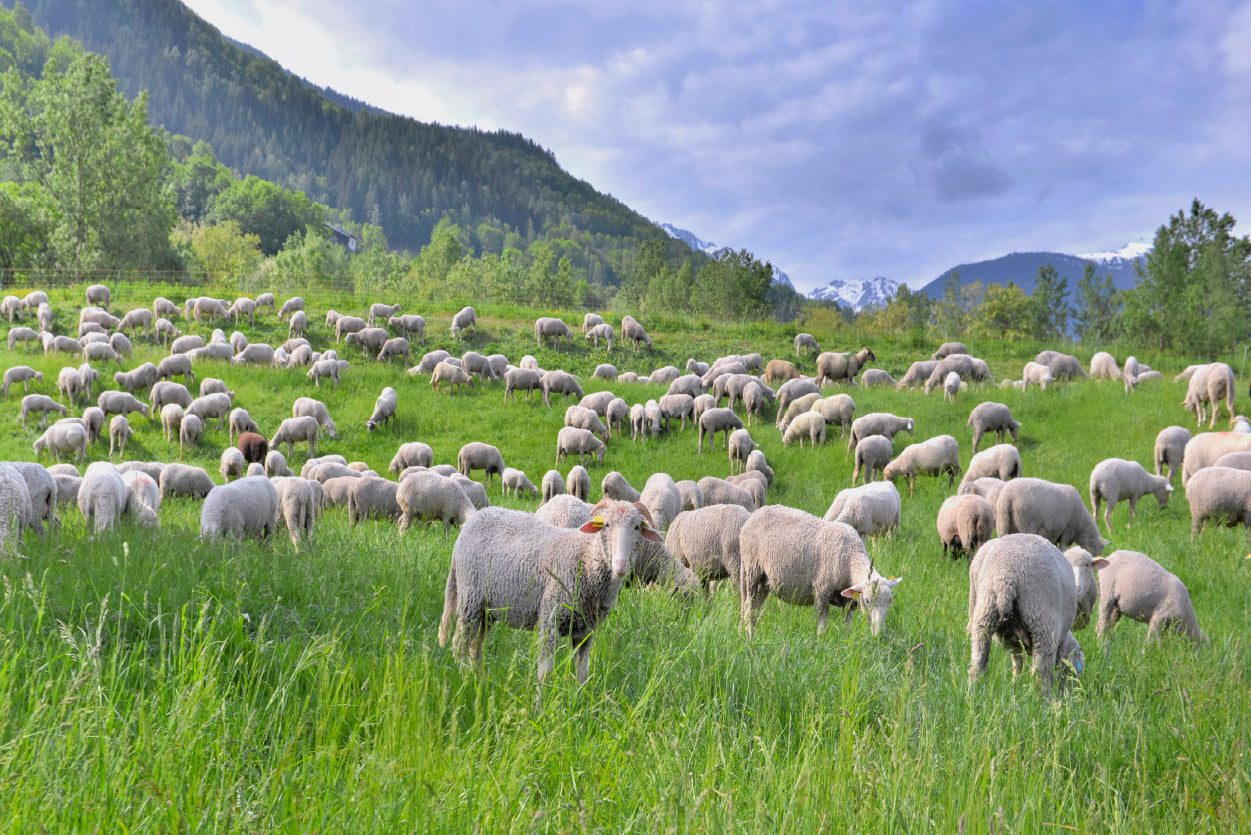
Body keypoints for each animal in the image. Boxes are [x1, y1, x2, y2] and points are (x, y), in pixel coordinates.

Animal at [437, 495, 665, 686]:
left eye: (637, 527)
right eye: (606, 525)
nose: (620, 565)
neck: (585, 558)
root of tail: (471, 522)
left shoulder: (585, 631)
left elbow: (582, 672)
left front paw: (579, 702)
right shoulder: (550, 618)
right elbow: (545, 672)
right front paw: (540, 706)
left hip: (487, 609)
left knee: (476, 646)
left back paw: (478, 678)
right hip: (470, 597)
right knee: (458, 643)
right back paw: (464, 678)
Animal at [735, 505, 905, 635]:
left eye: (890, 601)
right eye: (868, 601)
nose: (879, 634)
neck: (850, 556)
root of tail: (754, 515)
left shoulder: (847, 602)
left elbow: (848, 626)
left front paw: (848, 641)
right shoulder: (822, 591)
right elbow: (822, 627)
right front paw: (820, 645)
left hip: (763, 581)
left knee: (753, 608)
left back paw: (747, 634)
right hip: (751, 570)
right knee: (748, 608)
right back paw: (749, 637)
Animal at [965, 535, 1085, 701]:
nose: (1069, 695)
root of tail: (1006, 576)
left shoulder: (1014, 643)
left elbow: (1017, 663)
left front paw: (1015, 684)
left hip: (984, 615)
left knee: (977, 664)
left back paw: (972, 695)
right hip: (1043, 622)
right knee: (1041, 673)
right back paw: (1046, 702)